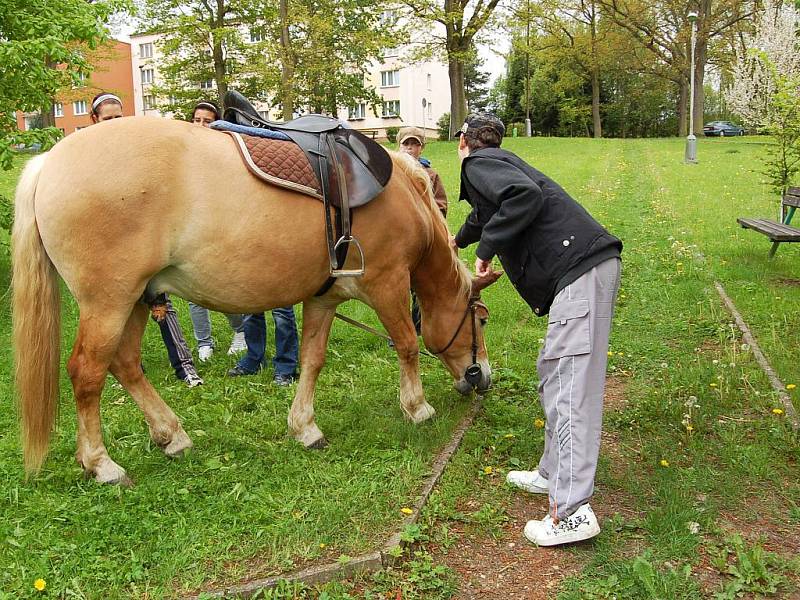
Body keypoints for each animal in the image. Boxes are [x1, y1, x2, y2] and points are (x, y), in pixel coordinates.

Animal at [12, 115, 496, 486]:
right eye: (482, 319)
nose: (483, 378)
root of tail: (48, 162)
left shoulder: (324, 298)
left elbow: (313, 359)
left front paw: (304, 427)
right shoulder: (387, 282)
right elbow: (408, 345)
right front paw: (417, 408)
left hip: (134, 299)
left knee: (125, 364)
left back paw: (171, 435)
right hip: (109, 303)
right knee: (87, 372)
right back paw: (102, 464)